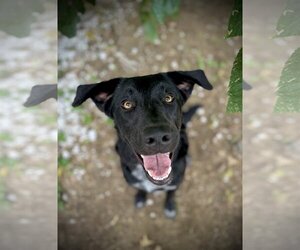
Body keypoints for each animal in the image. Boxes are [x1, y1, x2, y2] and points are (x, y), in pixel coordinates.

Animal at [71, 69, 212, 218]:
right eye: (127, 104)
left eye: (168, 98)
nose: (157, 136)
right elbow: (141, 190)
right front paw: (140, 198)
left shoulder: (174, 185)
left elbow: (170, 194)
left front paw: (169, 207)